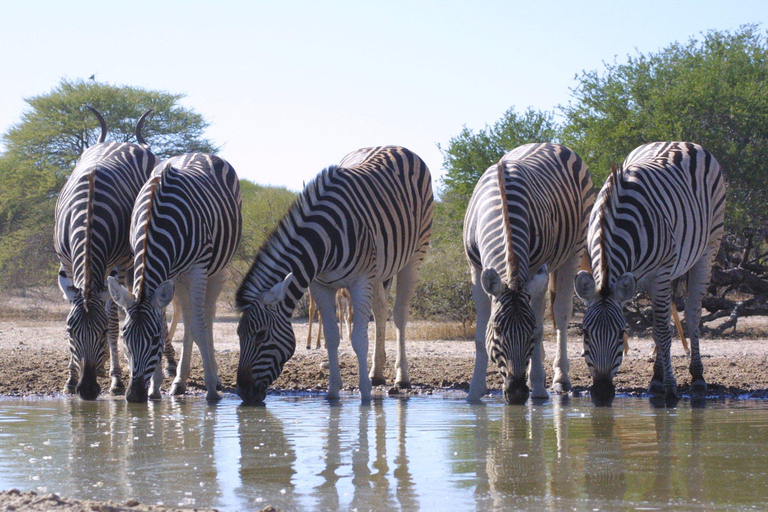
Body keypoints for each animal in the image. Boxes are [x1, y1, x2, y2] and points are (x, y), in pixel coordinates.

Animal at [54, 106, 158, 398]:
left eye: (100, 333)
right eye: (70, 332)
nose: (87, 390)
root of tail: (119, 141)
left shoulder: (117, 264)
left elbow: (113, 322)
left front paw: (116, 380)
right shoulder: (65, 262)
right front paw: (70, 379)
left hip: (132, 259)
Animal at [106, 154, 242, 402]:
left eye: (154, 341)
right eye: (124, 338)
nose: (134, 395)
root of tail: (200, 153)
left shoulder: (197, 268)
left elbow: (199, 326)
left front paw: (210, 387)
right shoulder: (163, 272)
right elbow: (165, 322)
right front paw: (155, 386)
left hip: (218, 268)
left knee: (206, 315)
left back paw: (214, 378)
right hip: (178, 277)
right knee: (188, 317)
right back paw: (179, 381)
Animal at [236, 145, 432, 404]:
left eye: (260, 335)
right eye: (239, 334)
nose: (243, 392)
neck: (324, 241)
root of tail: (394, 146)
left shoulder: (359, 281)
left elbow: (358, 339)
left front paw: (365, 395)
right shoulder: (321, 285)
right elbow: (331, 337)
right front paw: (333, 392)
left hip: (414, 255)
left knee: (400, 315)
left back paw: (401, 377)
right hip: (379, 272)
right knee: (380, 309)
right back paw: (377, 373)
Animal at [462, 143, 592, 404]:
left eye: (528, 331)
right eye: (497, 331)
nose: (517, 394)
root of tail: (550, 143)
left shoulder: (536, 269)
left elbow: (541, 329)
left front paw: (539, 388)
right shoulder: (475, 270)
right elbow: (479, 337)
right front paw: (475, 391)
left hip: (574, 250)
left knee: (561, 313)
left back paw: (559, 378)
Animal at [576, 142, 728, 406]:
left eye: (621, 333)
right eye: (585, 333)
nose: (602, 394)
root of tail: (681, 142)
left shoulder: (660, 274)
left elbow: (661, 332)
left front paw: (671, 390)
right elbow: (660, 330)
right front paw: (661, 382)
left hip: (708, 248)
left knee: (692, 312)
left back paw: (697, 378)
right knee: (666, 318)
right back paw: (656, 379)